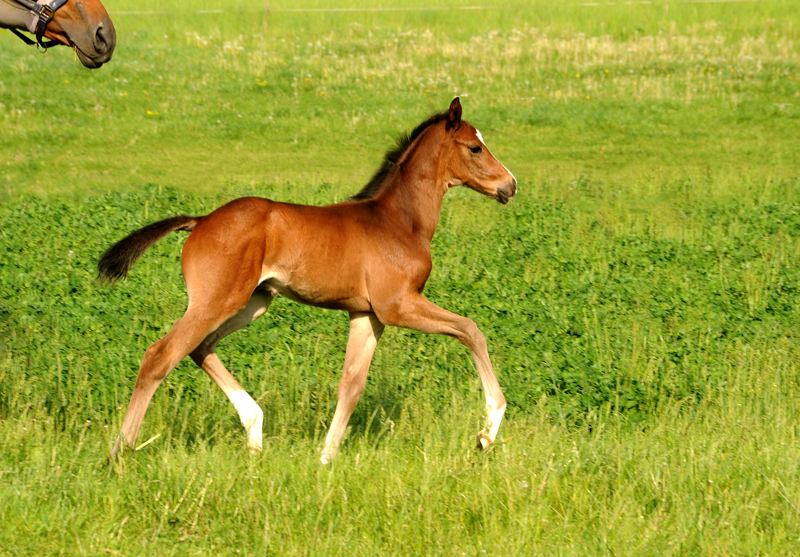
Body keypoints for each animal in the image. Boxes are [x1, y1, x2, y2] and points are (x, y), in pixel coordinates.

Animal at [100, 99, 520, 460]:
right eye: (475, 148)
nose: (510, 185)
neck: (400, 221)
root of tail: (200, 221)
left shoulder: (368, 315)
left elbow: (351, 385)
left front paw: (325, 458)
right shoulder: (398, 305)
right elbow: (470, 330)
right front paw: (487, 431)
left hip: (253, 303)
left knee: (200, 347)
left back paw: (254, 431)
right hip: (217, 300)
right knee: (160, 355)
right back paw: (120, 451)